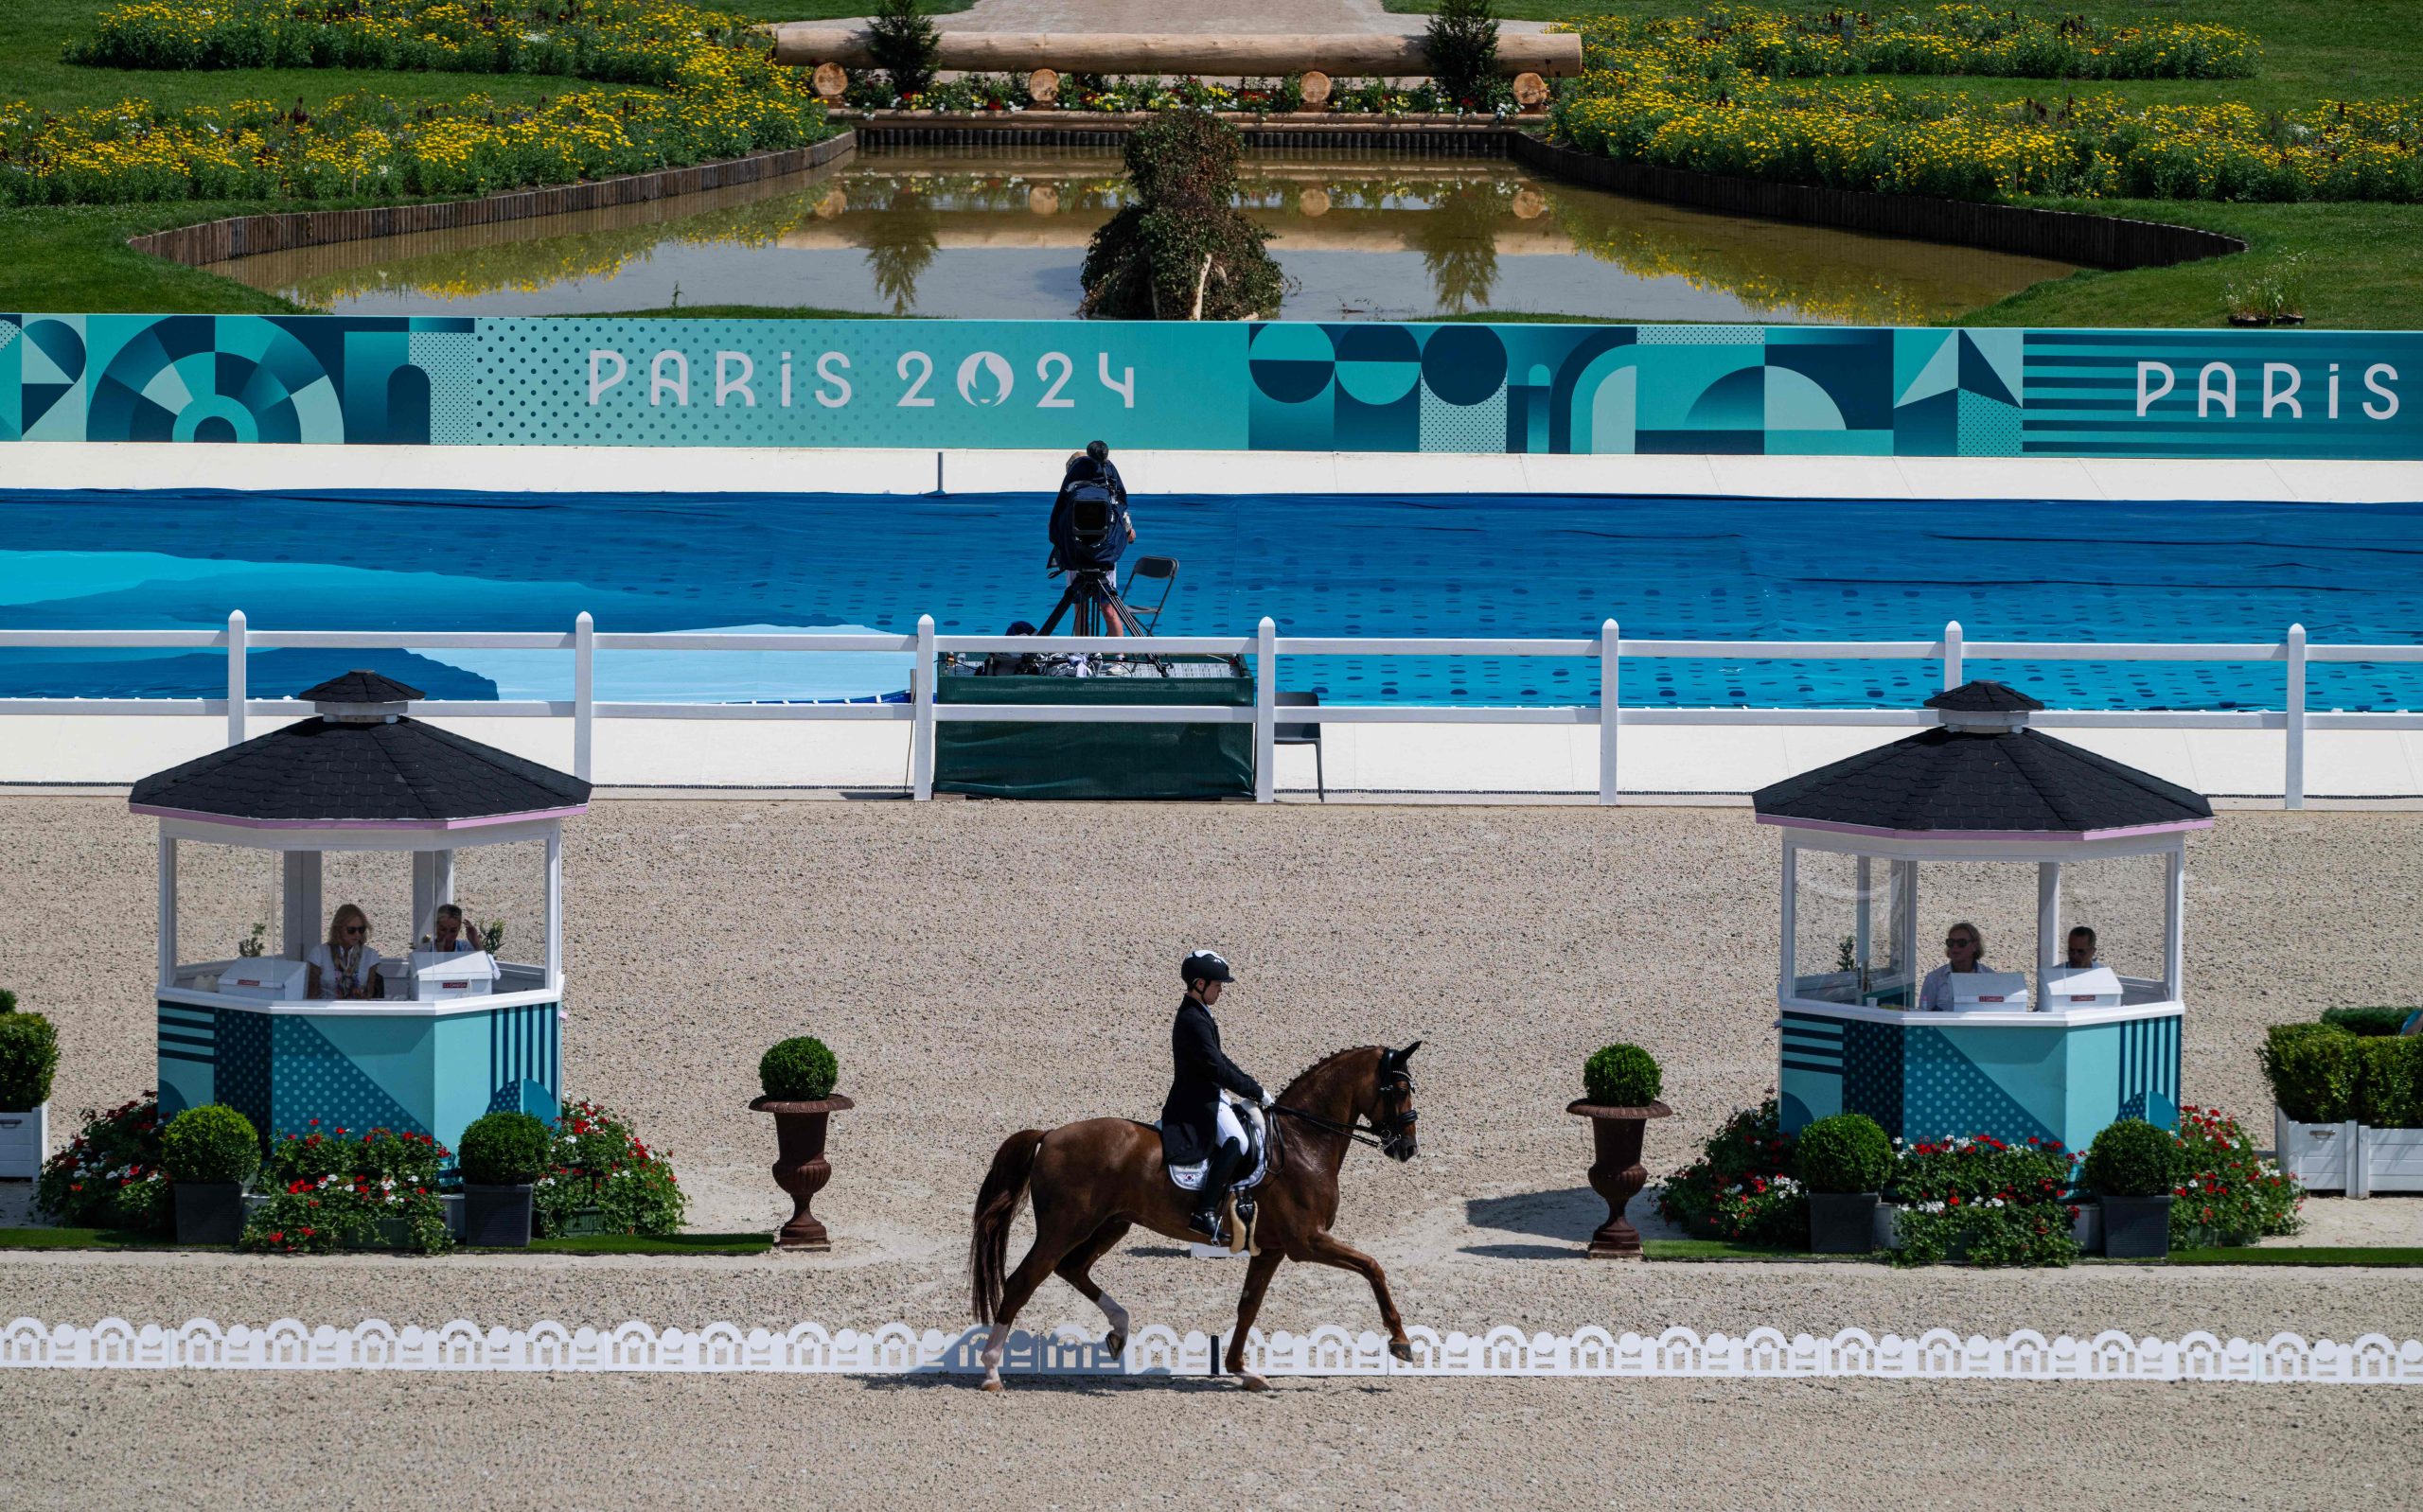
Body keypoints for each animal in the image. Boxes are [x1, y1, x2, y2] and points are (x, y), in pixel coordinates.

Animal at [964, 1046, 1415, 1385]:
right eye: (1399, 1089)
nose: (1408, 1149)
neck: (1302, 1143)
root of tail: (1050, 1135)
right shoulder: (1307, 1241)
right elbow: (1372, 1267)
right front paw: (1400, 1342)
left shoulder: (1271, 1249)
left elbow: (1248, 1305)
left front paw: (1241, 1370)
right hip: (1064, 1227)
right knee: (1023, 1282)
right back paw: (991, 1371)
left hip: (1111, 1224)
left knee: (1072, 1269)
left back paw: (1118, 1331)